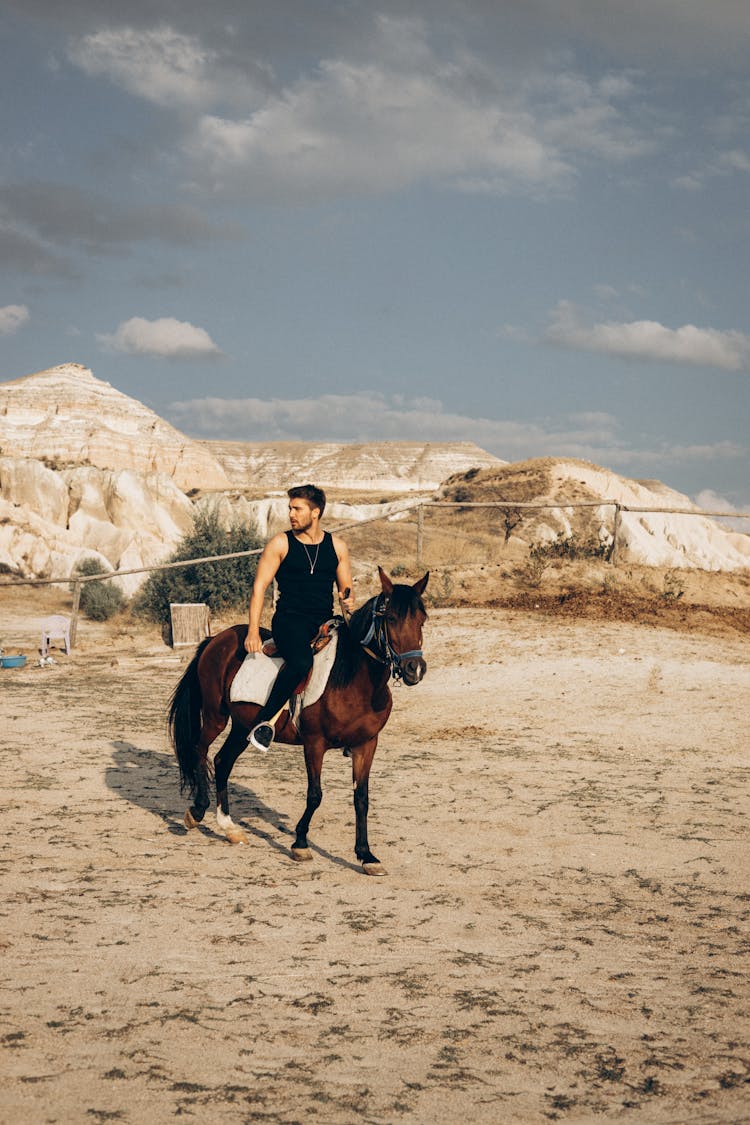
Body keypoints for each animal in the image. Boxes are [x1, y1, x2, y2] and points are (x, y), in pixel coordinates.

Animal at [169, 567, 427, 873]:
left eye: (422, 620)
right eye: (391, 619)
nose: (414, 669)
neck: (354, 681)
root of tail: (218, 639)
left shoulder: (366, 745)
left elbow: (361, 799)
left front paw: (366, 856)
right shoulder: (314, 744)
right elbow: (315, 794)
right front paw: (300, 843)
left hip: (243, 726)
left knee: (222, 761)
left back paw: (229, 827)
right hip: (215, 716)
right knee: (200, 750)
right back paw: (197, 810)